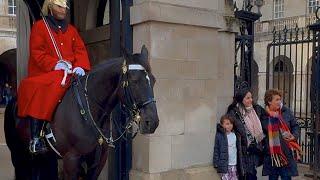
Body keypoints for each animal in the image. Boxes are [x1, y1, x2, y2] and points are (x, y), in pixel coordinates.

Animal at [4, 45, 159, 179]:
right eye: (134, 80)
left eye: (153, 80)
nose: (152, 122)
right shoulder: (71, 160)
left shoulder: (97, 163)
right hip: (18, 155)